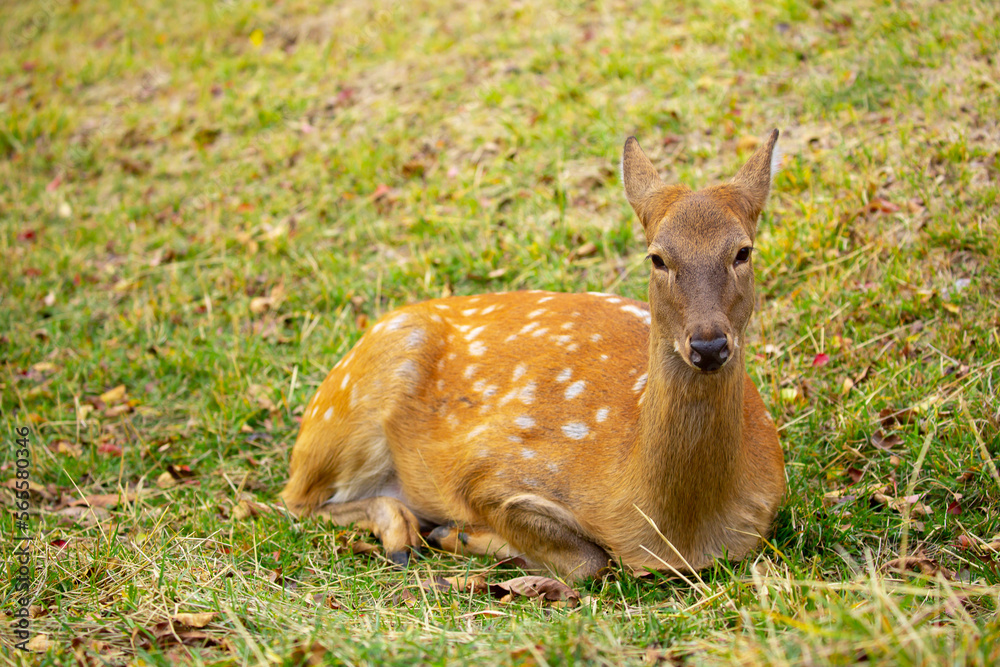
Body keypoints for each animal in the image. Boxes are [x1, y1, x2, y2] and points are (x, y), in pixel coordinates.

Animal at [280, 130, 786, 582]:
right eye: (657, 258)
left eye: (743, 251)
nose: (708, 344)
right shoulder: (490, 471)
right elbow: (589, 561)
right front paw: (462, 536)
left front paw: (461, 537)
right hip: (352, 404)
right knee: (297, 500)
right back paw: (405, 536)